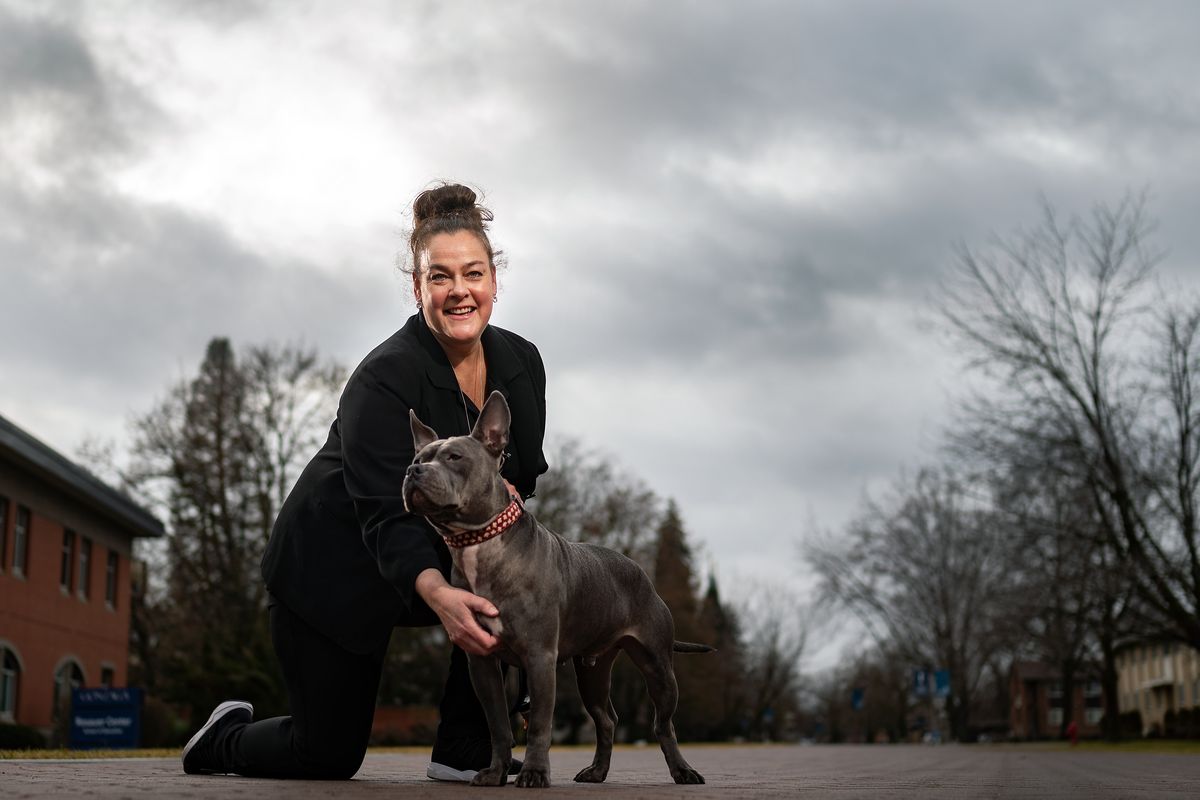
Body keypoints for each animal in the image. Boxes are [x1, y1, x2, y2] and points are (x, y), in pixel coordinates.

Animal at [403, 393, 710, 786]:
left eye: (454, 457)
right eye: (418, 459)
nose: (412, 472)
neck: (479, 542)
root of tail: (642, 574)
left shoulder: (540, 658)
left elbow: (538, 726)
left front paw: (534, 773)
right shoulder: (482, 664)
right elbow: (499, 726)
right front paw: (496, 772)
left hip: (658, 667)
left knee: (663, 724)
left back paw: (683, 770)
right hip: (592, 671)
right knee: (606, 720)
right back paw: (597, 771)